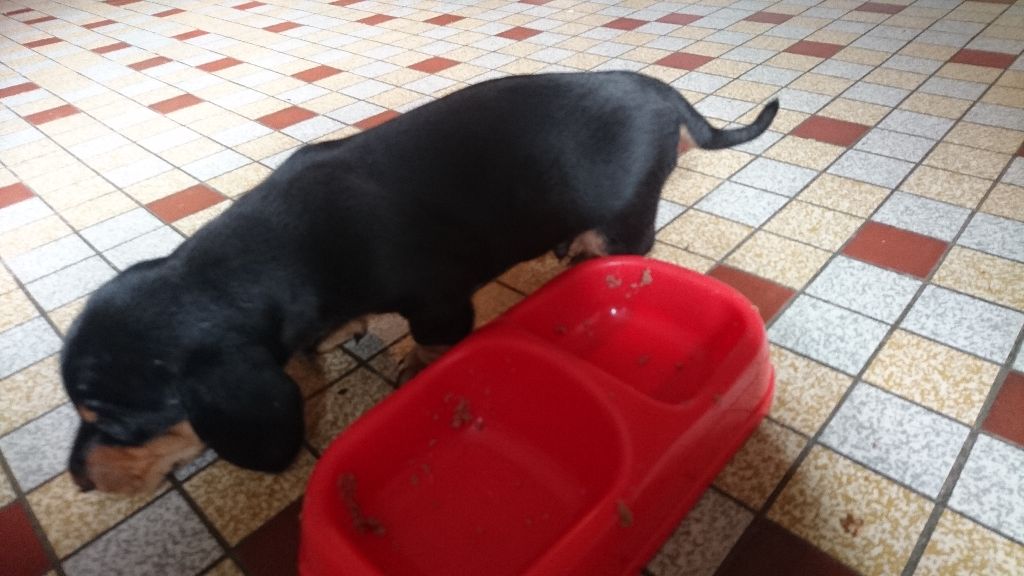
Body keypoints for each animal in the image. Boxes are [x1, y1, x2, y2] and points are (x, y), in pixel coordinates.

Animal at [61, 71, 778, 494]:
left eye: (115, 423)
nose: (76, 481)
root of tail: (662, 91)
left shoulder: (439, 304)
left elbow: (432, 339)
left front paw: (414, 364)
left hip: (625, 219)